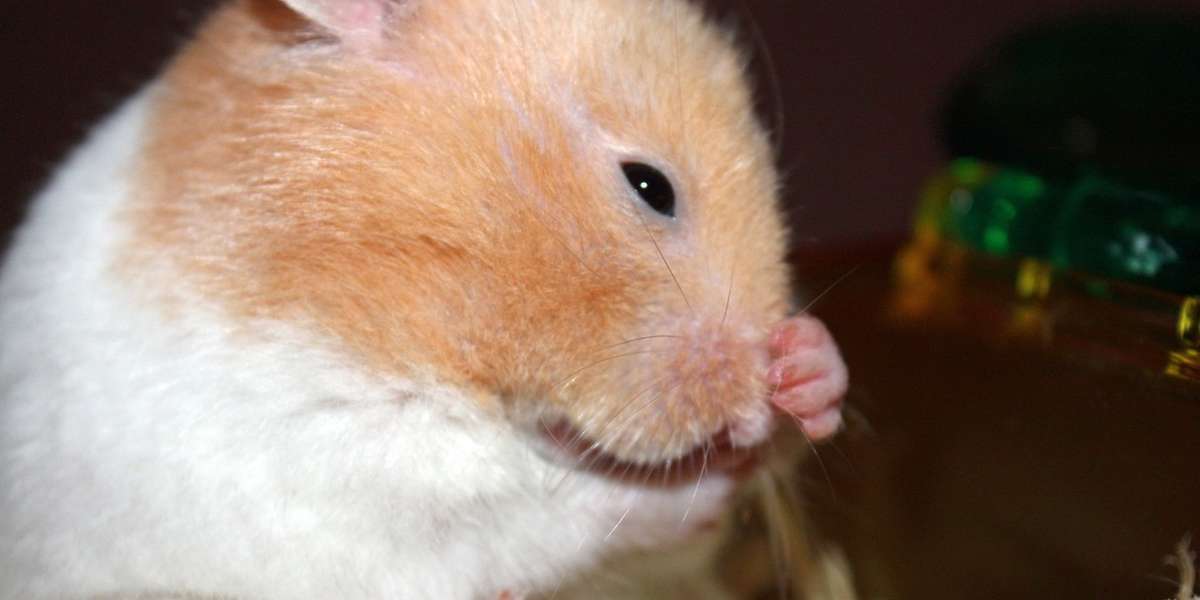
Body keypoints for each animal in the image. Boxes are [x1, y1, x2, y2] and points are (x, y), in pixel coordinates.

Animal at [0, 0, 847, 598]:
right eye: (649, 186)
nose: (750, 411)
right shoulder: (355, 469)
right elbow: (565, 514)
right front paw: (712, 479)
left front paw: (805, 377)